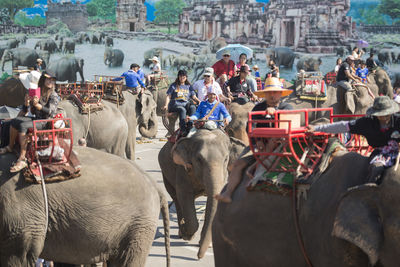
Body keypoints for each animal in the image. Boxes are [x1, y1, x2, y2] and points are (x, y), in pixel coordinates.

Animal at [158, 131, 245, 260]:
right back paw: (182, 231)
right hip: (165, 174)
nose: (199, 256)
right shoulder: (182, 170)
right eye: (199, 159)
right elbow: (184, 195)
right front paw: (188, 235)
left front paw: (205, 243)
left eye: (226, 159)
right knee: (177, 199)